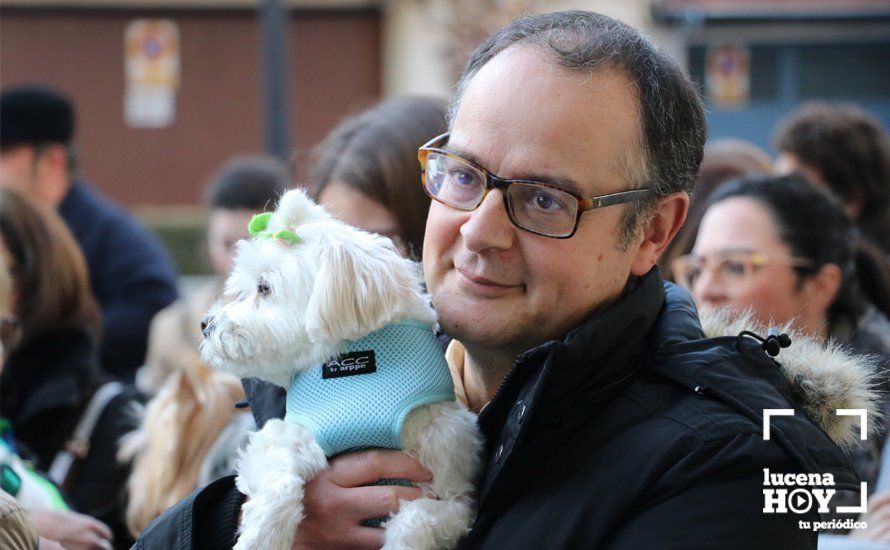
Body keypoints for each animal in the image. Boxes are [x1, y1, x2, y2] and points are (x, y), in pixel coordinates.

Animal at [200, 190, 482, 550]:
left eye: (264, 287)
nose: (205, 324)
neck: (355, 372)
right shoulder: (287, 436)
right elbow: (280, 478)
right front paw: (263, 535)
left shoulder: (453, 491)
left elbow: (418, 519)